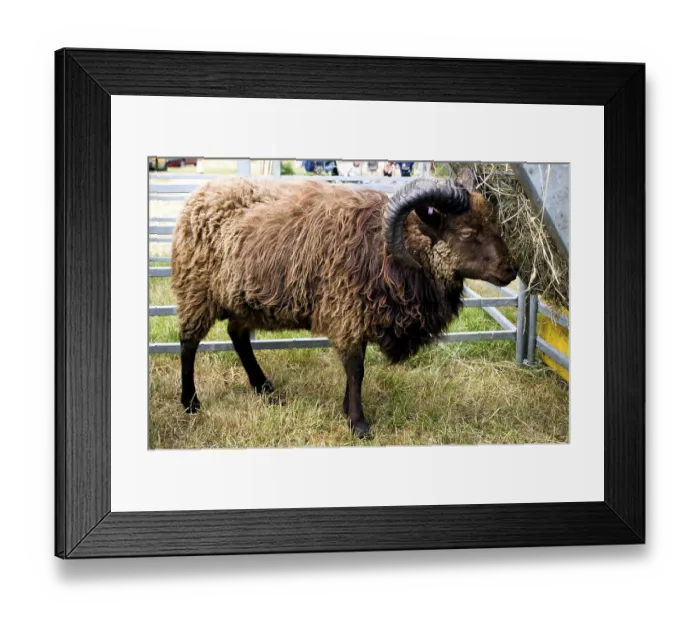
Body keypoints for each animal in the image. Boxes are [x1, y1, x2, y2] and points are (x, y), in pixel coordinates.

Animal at [171, 177, 518, 438]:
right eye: (468, 232)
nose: (512, 270)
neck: (389, 252)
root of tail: (197, 196)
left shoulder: (357, 315)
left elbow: (355, 370)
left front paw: (346, 410)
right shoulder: (347, 312)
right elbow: (356, 369)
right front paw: (359, 424)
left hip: (243, 298)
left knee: (237, 334)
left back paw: (264, 388)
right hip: (196, 291)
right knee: (188, 343)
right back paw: (190, 402)